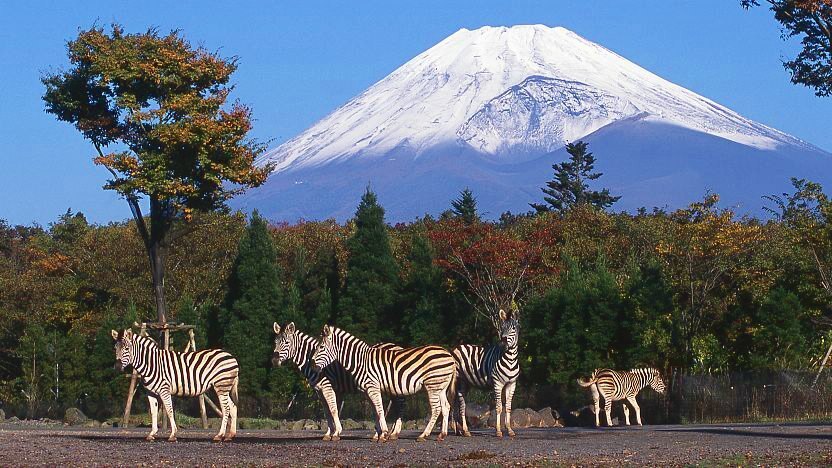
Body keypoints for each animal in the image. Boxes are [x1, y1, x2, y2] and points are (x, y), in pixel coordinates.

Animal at [111, 328, 240, 440]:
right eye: (115, 348)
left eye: (126, 348)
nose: (117, 367)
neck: (151, 363)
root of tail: (231, 357)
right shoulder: (150, 392)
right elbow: (153, 412)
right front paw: (152, 434)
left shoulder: (164, 389)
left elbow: (169, 410)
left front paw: (173, 434)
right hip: (222, 387)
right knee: (233, 407)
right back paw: (230, 435)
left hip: (221, 385)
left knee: (226, 408)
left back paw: (220, 435)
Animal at [272, 324, 404, 440]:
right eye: (275, 343)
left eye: (287, 343)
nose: (274, 360)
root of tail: (398, 347)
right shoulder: (319, 390)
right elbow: (327, 412)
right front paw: (328, 433)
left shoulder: (327, 386)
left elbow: (333, 409)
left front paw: (336, 432)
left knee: (399, 407)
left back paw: (392, 433)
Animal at [312, 326, 458, 442]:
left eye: (321, 347)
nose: (313, 364)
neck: (360, 361)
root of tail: (449, 354)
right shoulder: (367, 390)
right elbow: (375, 412)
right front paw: (379, 434)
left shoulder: (373, 387)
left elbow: (380, 410)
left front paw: (384, 434)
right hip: (441, 387)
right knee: (446, 407)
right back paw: (441, 435)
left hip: (432, 385)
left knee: (436, 409)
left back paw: (423, 435)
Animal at [452, 308, 516, 436]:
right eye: (502, 327)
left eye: (513, 328)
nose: (503, 341)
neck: (510, 358)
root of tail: (457, 347)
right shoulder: (497, 383)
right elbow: (498, 407)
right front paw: (498, 431)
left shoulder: (511, 384)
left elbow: (508, 407)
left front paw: (510, 430)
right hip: (459, 381)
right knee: (461, 406)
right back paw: (465, 430)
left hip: (465, 384)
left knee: (456, 405)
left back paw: (458, 430)